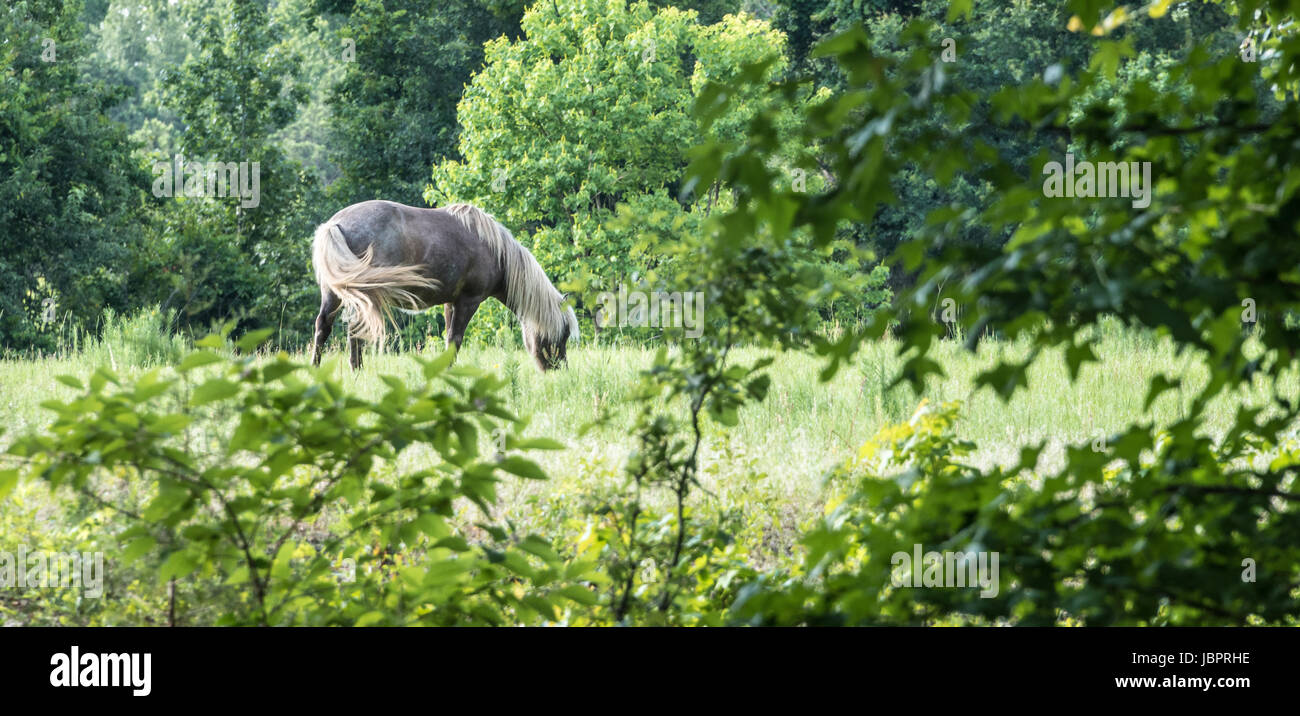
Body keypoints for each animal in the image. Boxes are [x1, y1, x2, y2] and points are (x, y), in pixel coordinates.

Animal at [306, 200, 577, 371]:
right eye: (562, 335)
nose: (560, 369)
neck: (495, 251)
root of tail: (335, 224)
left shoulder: (450, 302)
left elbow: (449, 338)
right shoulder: (469, 301)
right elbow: (455, 339)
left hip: (334, 294)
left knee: (324, 327)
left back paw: (319, 369)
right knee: (354, 329)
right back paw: (356, 368)